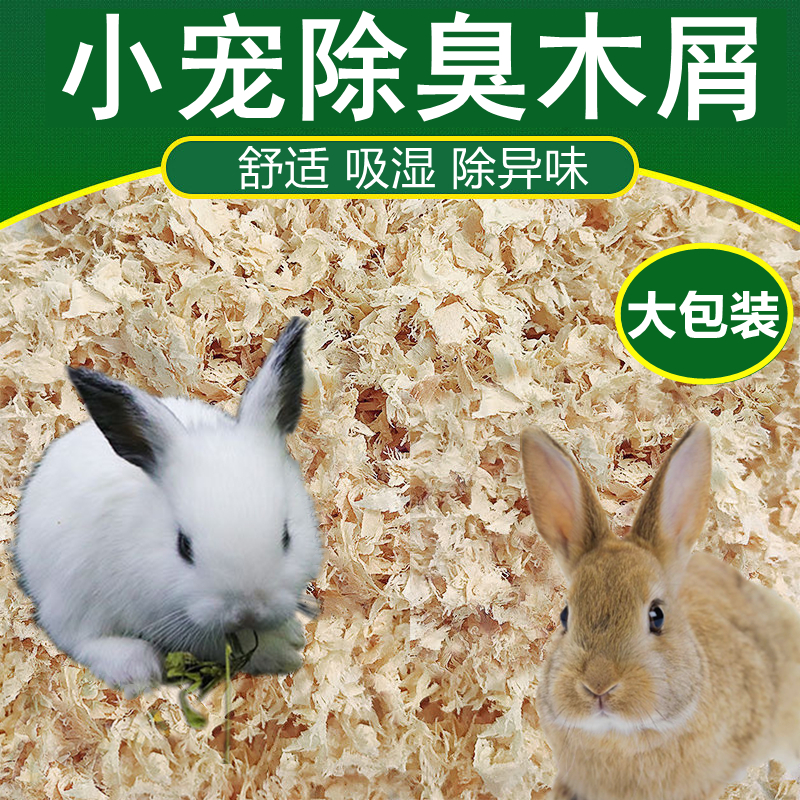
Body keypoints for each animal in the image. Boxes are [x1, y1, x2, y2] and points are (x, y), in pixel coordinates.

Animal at [14, 317, 322, 697]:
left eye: (286, 536)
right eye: (183, 547)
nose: (247, 611)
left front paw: (291, 634)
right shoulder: (168, 620)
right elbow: (224, 645)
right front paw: (285, 651)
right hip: (70, 594)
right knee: (78, 637)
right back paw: (135, 669)